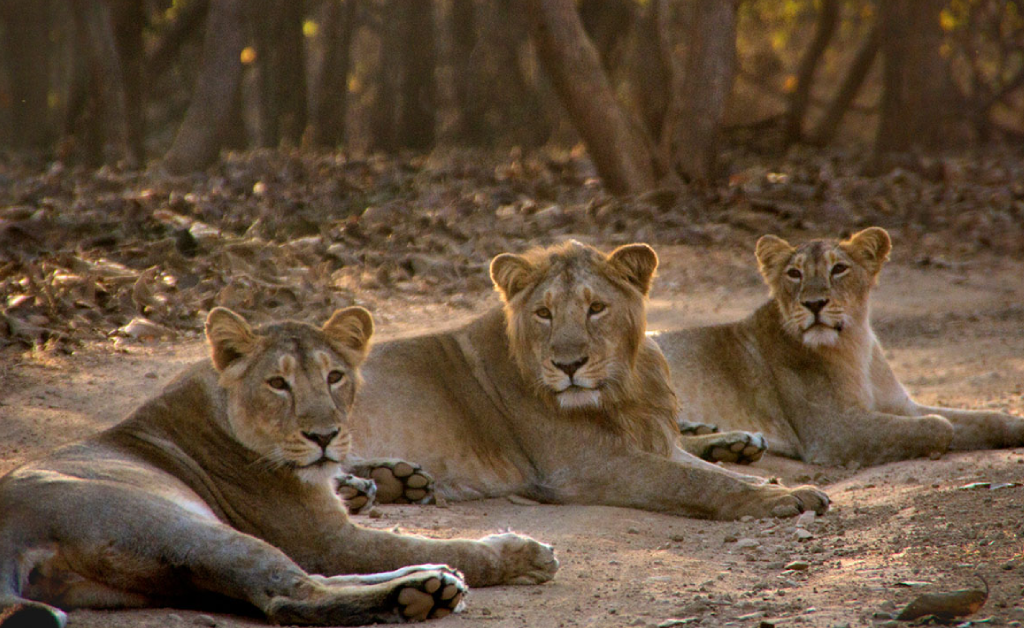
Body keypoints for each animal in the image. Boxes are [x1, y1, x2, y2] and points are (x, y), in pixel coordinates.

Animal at [0, 307, 557, 628]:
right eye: (277, 384)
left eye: (335, 376)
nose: (324, 435)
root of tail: (10, 532)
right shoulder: (328, 539)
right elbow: (440, 544)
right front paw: (521, 553)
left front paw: (382, 479)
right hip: (184, 529)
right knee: (291, 596)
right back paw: (420, 594)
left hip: (162, 577)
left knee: (292, 584)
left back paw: (427, 580)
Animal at [347, 241, 829, 521]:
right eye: (543, 313)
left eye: (596, 308)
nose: (569, 365)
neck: (623, 387)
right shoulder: (584, 466)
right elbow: (697, 482)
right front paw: (772, 499)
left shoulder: (654, 442)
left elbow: (708, 470)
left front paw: (781, 486)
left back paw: (394, 479)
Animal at [654, 227, 1024, 467]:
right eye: (794, 273)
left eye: (839, 268)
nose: (814, 303)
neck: (855, 345)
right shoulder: (833, 430)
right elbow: (939, 426)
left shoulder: (900, 405)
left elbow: (983, 419)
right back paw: (732, 445)